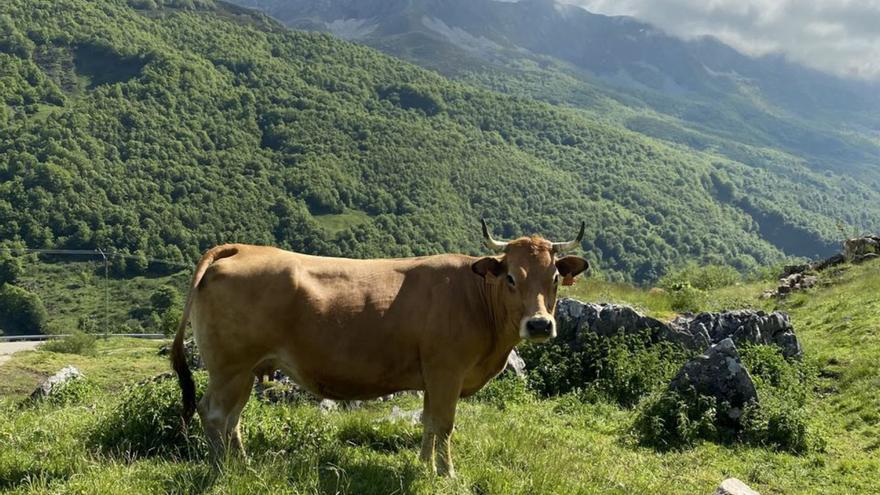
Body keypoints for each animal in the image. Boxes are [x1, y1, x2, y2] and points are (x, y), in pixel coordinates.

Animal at [168, 221, 588, 476]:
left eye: (554, 277)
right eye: (511, 278)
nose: (539, 324)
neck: (474, 296)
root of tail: (241, 249)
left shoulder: (432, 376)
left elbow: (429, 422)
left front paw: (423, 466)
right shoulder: (446, 371)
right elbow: (445, 424)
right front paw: (446, 473)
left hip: (246, 369)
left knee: (232, 419)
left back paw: (244, 467)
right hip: (230, 367)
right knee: (215, 415)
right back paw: (223, 471)